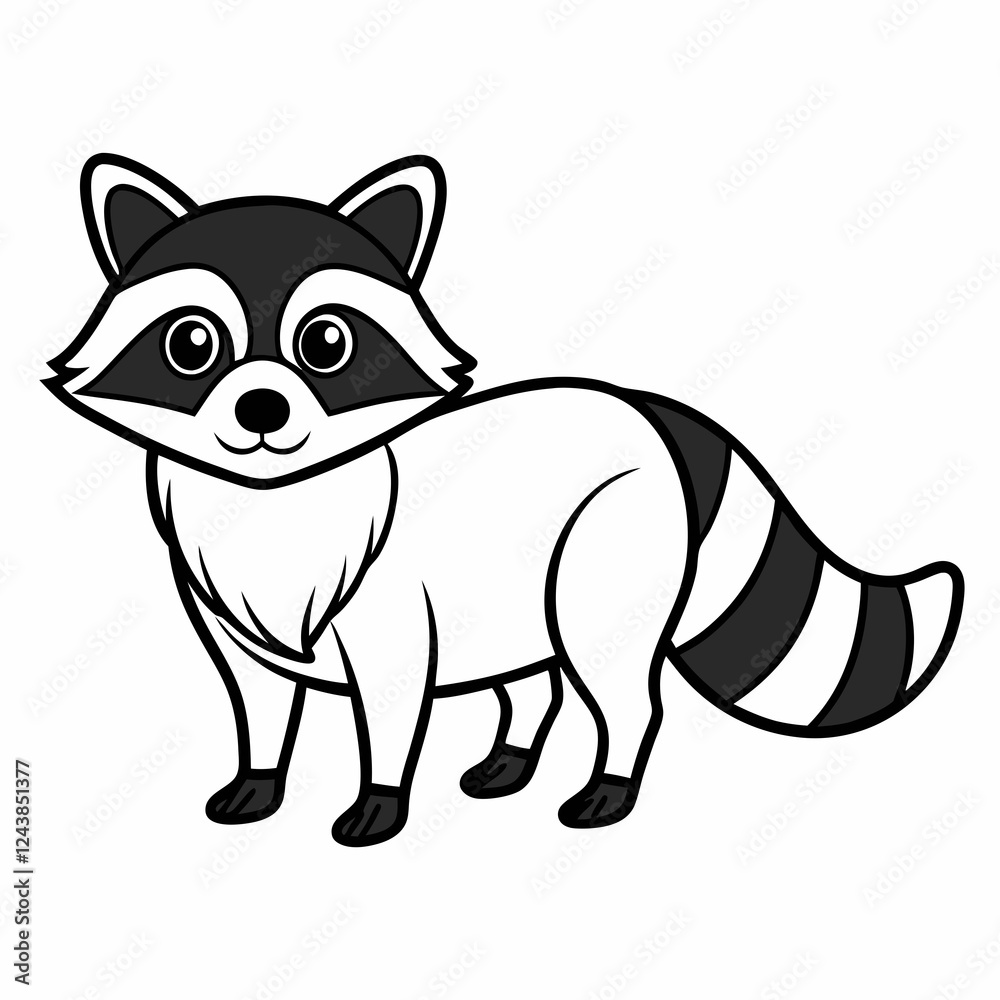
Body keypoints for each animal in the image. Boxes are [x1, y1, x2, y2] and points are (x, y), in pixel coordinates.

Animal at [47, 153, 964, 846]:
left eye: (326, 344)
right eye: (191, 345)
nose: (262, 409)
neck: (274, 501)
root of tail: (641, 404)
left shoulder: (388, 613)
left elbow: (390, 711)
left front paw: (380, 799)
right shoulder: (227, 616)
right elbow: (261, 705)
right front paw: (260, 777)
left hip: (602, 551)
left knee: (620, 686)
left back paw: (609, 781)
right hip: (522, 587)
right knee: (533, 681)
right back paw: (512, 754)